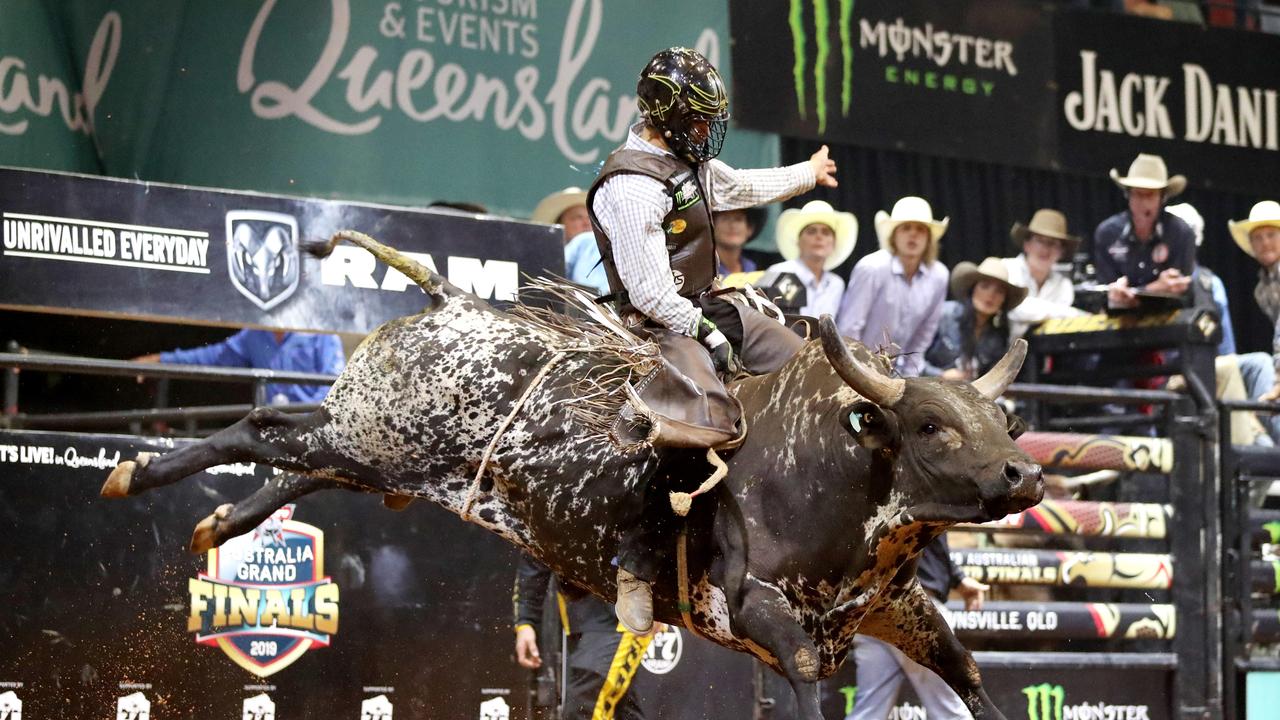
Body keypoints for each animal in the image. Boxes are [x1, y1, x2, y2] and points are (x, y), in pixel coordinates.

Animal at [99, 229, 1039, 717]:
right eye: (930, 425)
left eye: (1006, 422)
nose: (1023, 479)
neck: (829, 470)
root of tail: (447, 302)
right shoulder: (756, 610)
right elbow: (809, 676)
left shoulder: (897, 609)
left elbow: (970, 676)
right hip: (374, 438)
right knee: (261, 428)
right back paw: (138, 476)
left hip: (367, 447)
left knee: (291, 456)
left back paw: (218, 521)